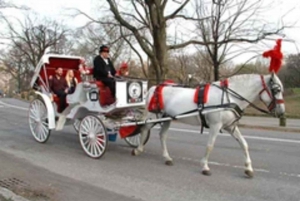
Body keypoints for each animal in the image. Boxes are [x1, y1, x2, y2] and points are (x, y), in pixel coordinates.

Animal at [132, 72, 284, 177]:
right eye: (276, 90)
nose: (282, 112)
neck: (229, 97)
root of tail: (155, 87)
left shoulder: (231, 127)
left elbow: (244, 144)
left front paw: (248, 168)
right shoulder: (215, 126)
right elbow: (210, 145)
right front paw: (205, 166)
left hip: (166, 118)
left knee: (162, 135)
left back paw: (167, 157)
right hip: (154, 116)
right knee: (144, 128)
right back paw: (138, 149)